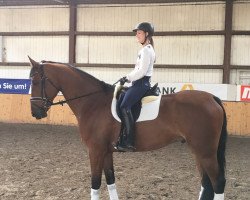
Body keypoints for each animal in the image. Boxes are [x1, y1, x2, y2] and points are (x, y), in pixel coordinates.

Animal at [28, 56, 228, 200]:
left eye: (36, 82)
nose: (35, 112)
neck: (93, 102)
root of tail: (212, 98)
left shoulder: (95, 151)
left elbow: (95, 183)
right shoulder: (106, 152)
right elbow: (110, 180)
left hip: (205, 152)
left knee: (217, 183)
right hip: (198, 151)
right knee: (206, 183)